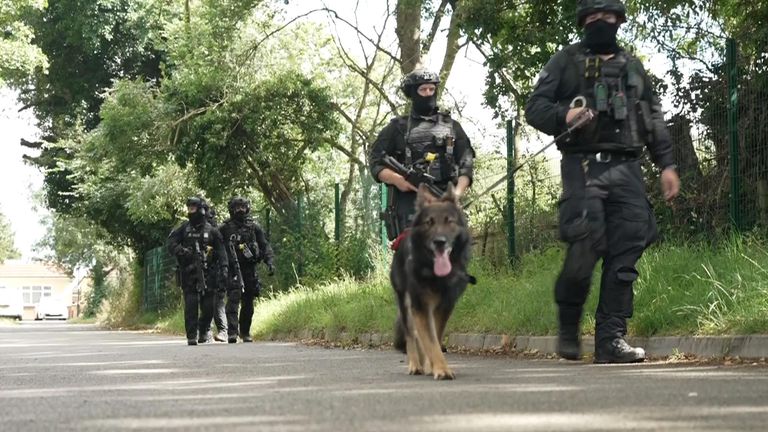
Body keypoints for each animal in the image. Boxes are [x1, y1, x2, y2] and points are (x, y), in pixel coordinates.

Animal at [392, 184, 472, 380]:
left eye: (449, 221)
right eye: (429, 222)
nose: (439, 242)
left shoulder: (445, 305)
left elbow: (435, 335)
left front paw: (433, 365)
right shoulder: (420, 305)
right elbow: (429, 340)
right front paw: (441, 369)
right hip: (405, 304)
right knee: (411, 335)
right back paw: (415, 365)